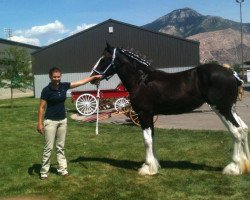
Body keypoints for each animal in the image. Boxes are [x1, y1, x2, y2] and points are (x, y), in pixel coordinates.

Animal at [90, 43, 250, 175]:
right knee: (243, 129)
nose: (93, 77)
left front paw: (147, 168)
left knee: (236, 132)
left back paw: (233, 168)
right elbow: (152, 138)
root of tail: (232, 74)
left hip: (222, 109)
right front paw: (154, 166)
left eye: (103, 59)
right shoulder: (150, 115)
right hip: (230, 109)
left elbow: (147, 140)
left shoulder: (144, 114)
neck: (141, 80)